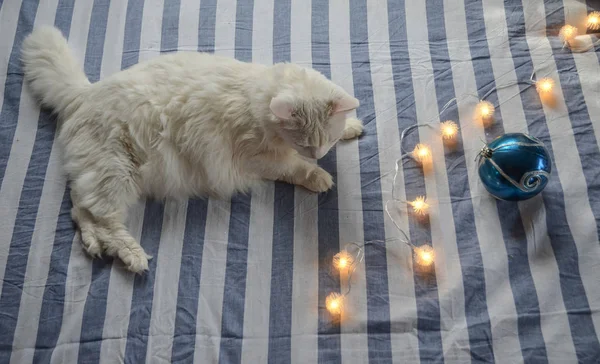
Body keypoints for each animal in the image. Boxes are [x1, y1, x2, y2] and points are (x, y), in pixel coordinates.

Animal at [21, 27, 364, 272]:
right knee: (102, 218)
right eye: (305, 143)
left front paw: (352, 126)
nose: (319, 154)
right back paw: (133, 258)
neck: (257, 98)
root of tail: (85, 92)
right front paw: (319, 176)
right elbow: (295, 168)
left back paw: (94, 246)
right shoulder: (261, 159)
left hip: (101, 177)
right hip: (116, 173)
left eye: (325, 141)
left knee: (81, 212)